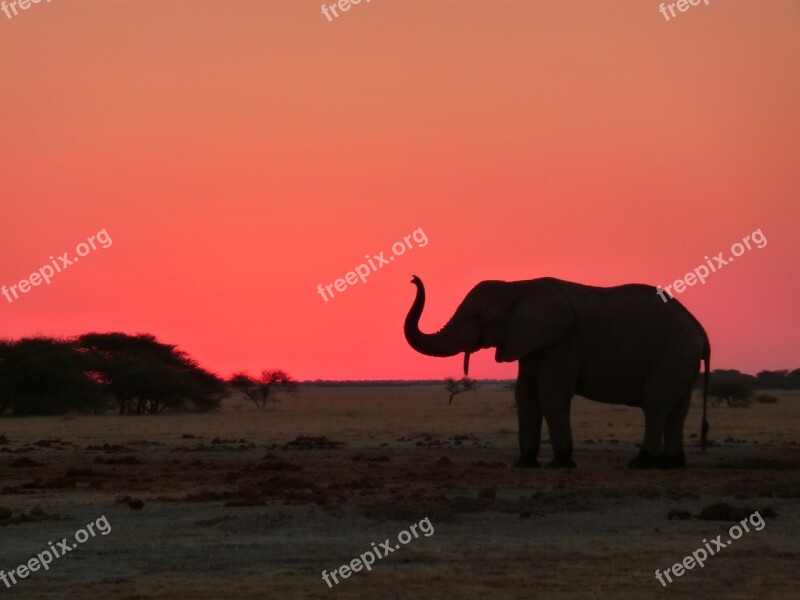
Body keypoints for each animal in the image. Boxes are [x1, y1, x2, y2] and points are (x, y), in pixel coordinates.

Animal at [404, 276, 708, 468]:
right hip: (682, 362)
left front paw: (559, 464)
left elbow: (551, 395)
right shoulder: (529, 341)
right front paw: (522, 464)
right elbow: (524, 396)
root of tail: (701, 333)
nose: (412, 279)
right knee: (676, 410)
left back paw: (641, 464)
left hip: (672, 357)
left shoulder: (563, 342)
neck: (518, 287)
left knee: (655, 405)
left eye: (477, 318)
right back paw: (672, 465)